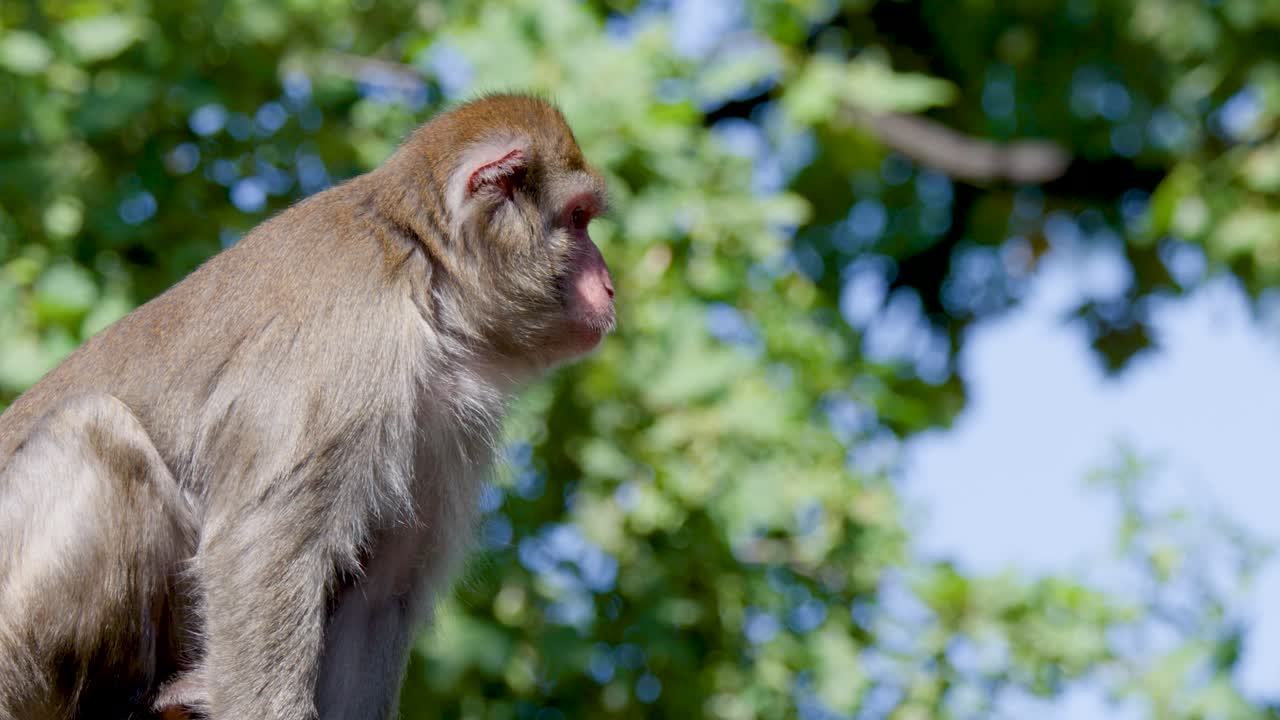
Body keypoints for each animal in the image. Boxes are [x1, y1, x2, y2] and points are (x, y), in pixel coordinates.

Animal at [0, 93, 615, 719]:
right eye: (578, 219)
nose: (610, 286)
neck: (426, 276)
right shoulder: (349, 340)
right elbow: (258, 551)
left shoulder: (444, 421)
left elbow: (379, 597)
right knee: (93, 433)